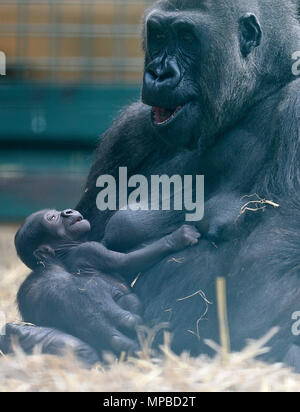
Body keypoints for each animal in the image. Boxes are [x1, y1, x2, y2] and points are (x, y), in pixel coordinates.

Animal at [10, 208, 200, 362]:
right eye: (53, 217)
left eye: (56, 212)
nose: (67, 211)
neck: (64, 251)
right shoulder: (90, 249)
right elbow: (127, 261)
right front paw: (178, 238)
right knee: (129, 301)